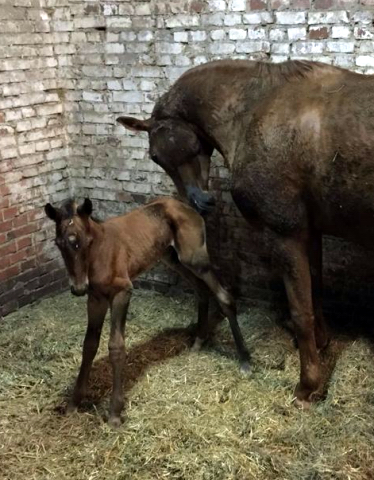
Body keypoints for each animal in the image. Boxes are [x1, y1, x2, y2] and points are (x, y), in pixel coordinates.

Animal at [45, 197, 250, 426]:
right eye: (59, 244)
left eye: (87, 242)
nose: (78, 288)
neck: (99, 254)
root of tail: (187, 206)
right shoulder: (96, 298)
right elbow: (89, 344)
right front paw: (73, 403)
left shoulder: (123, 292)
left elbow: (116, 346)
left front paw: (114, 413)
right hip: (172, 258)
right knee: (201, 291)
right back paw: (198, 341)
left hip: (194, 259)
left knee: (225, 297)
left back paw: (245, 360)